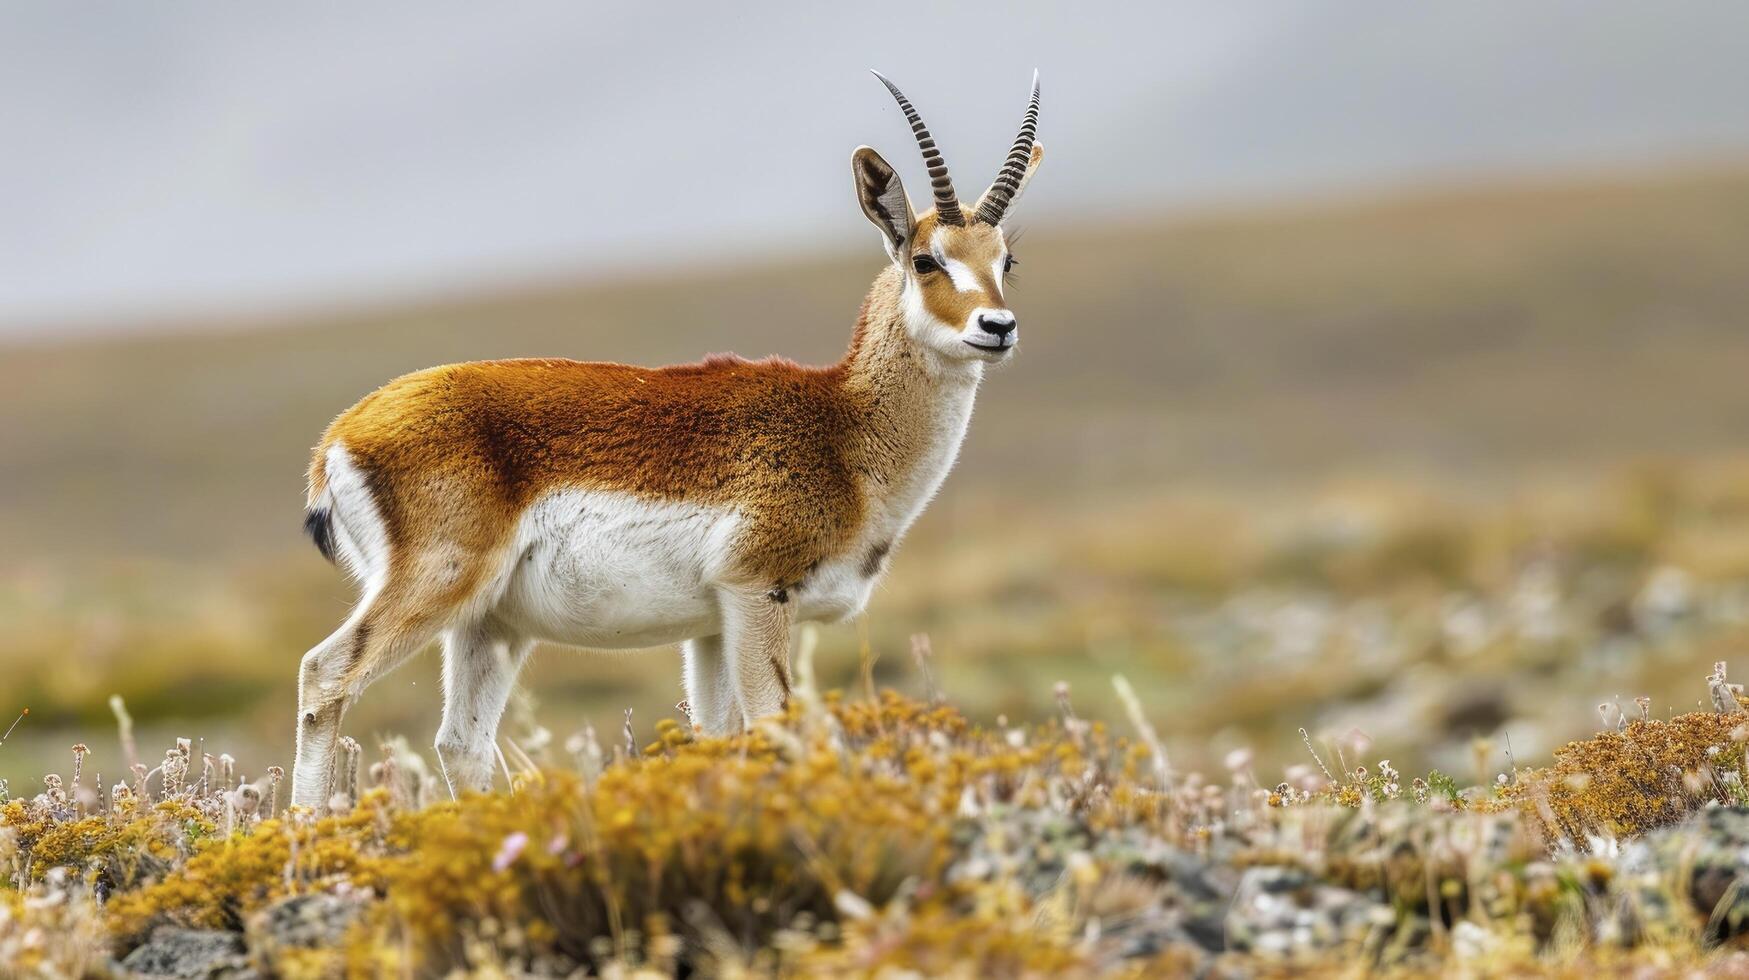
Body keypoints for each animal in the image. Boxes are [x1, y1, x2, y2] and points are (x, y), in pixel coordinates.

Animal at [293, 66, 1042, 805]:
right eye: (926, 260)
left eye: (1005, 260)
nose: (997, 327)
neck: (842, 429)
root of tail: (338, 438)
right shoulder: (758, 594)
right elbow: (774, 726)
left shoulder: (711, 626)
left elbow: (718, 736)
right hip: (435, 588)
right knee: (323, 676)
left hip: (490, 625)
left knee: (460, 744)